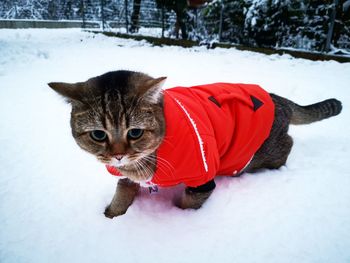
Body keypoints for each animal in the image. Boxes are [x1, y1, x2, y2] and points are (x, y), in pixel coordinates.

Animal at [48, 70, 342, 219]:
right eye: (98, 135)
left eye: (135, 132)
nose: (118, 156)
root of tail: (276, 97)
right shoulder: (126, 177)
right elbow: (121, 193)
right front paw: (110, 216)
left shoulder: (202, 180)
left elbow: (186, 206)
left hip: (262, 150)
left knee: (287, 144)